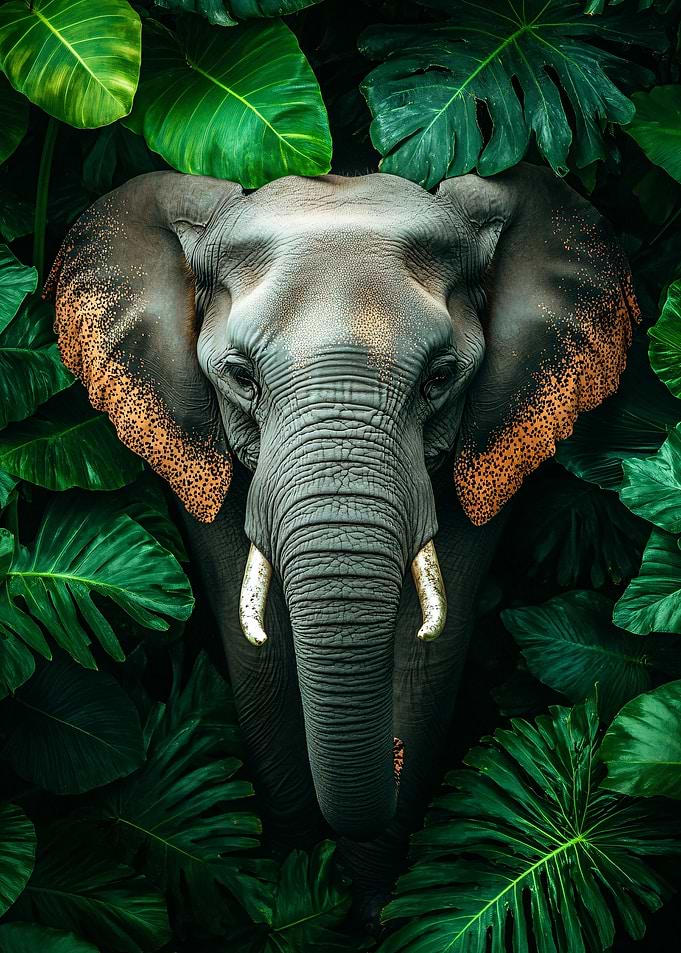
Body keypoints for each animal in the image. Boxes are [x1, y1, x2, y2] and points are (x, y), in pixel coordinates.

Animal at [47, 163, 639, 913]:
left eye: (440, 377)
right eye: (240, 378)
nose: (386, 757)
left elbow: (426, 664)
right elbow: (260, 661)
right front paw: (302, 883)